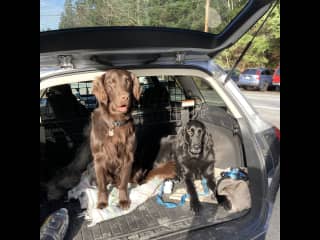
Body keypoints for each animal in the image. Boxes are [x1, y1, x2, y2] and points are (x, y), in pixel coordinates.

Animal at [89, 68, 141, 209]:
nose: (125, 97)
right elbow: (102, 186)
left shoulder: (129, 157)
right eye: (110, 82)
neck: (115, 122)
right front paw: (102, 202)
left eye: (127, 81)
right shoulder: (99, 159)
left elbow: (124, 183)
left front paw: (123, 200)